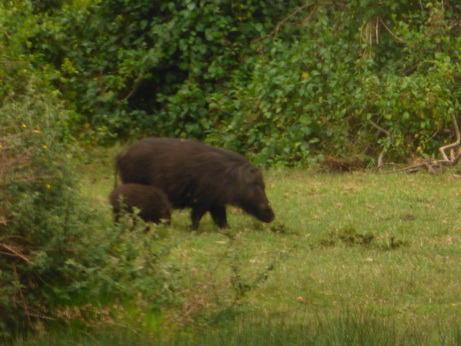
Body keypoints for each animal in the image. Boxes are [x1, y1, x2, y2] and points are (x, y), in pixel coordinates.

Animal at [114, 138, 274, 230]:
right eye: (258, 186)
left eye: (263, 185)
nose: (272, 216)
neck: (231, 179)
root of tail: (121, 154)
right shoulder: (202, 200)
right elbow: (196, 216)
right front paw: (192, 230)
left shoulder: (216, 202)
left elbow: (221, 218)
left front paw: (227, 229)